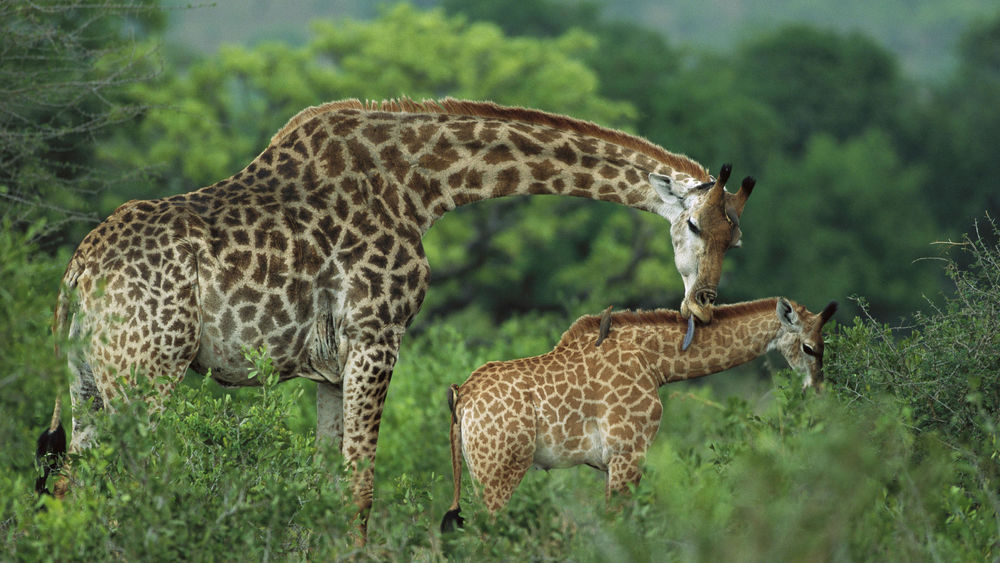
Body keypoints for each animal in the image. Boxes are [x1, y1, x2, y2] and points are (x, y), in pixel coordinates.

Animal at [36, 98, 755, 542]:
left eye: (737, 238)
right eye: (694, 225)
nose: (702, 303)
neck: (423, 186)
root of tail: (76, 278)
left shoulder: (328, 368)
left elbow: (326, 484)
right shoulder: (377, 335)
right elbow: (361, 487)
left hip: (88, 377)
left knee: (73, 480)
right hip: (147, 373)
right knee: (130, 482)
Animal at [440, 297, 837, 530]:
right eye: (809, 347)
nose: (817, 390)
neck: (655, 362)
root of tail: (461, 395)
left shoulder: (608, 463)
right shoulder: (628, 452)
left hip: (479, 472)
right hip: (500, 470)